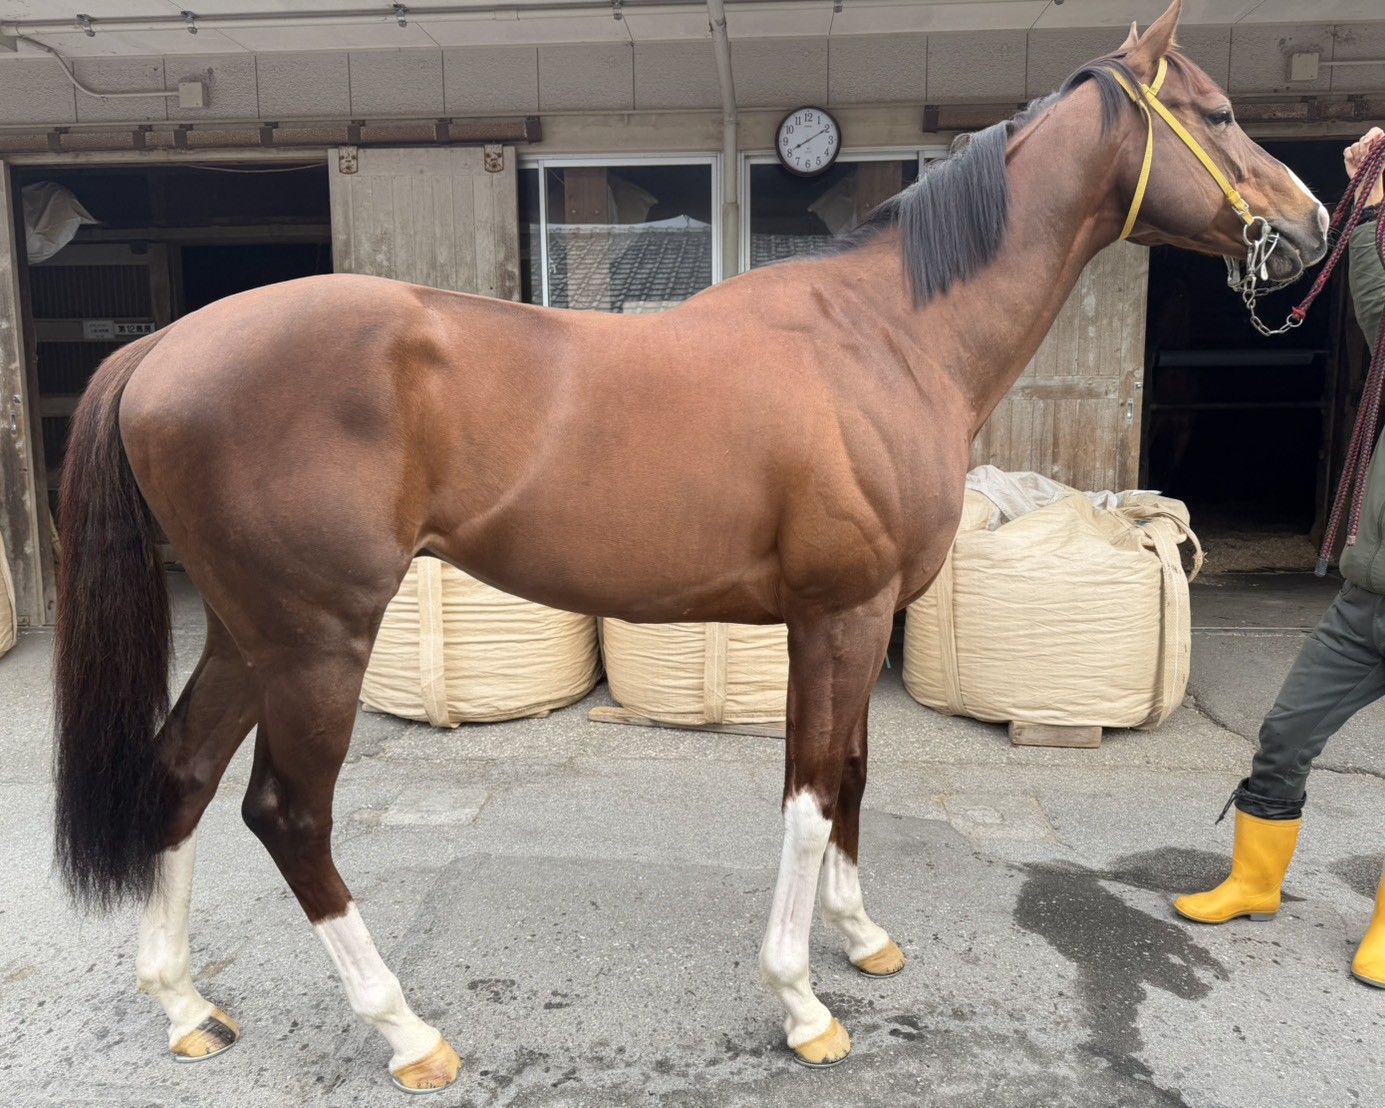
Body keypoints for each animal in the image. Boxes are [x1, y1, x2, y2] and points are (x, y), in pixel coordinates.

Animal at [53, 0, 1327, 1091]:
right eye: (1217, 113)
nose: (1315, 220)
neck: (885, 335)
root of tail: (165, 349)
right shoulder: (842, 614)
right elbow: (811, 795)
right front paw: (802, 1003)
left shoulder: (850, 620)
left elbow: (849, 773)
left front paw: (860, 936)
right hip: (318, 640)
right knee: (285, 813)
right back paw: (405, 1030)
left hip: (248, 633)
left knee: (182, 772)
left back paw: (184, 1005)